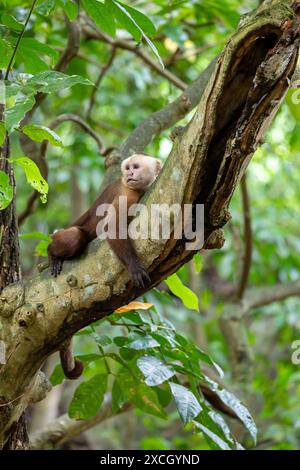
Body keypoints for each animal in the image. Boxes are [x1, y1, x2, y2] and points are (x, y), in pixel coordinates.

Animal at [47, 152, 162, 380]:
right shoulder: (127, 194)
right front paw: (135, 267)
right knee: (74, 237)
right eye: (127, 168)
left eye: (135, 167)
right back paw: (51, 254)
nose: (130, 174)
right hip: (67, 232)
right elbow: (112, 227)